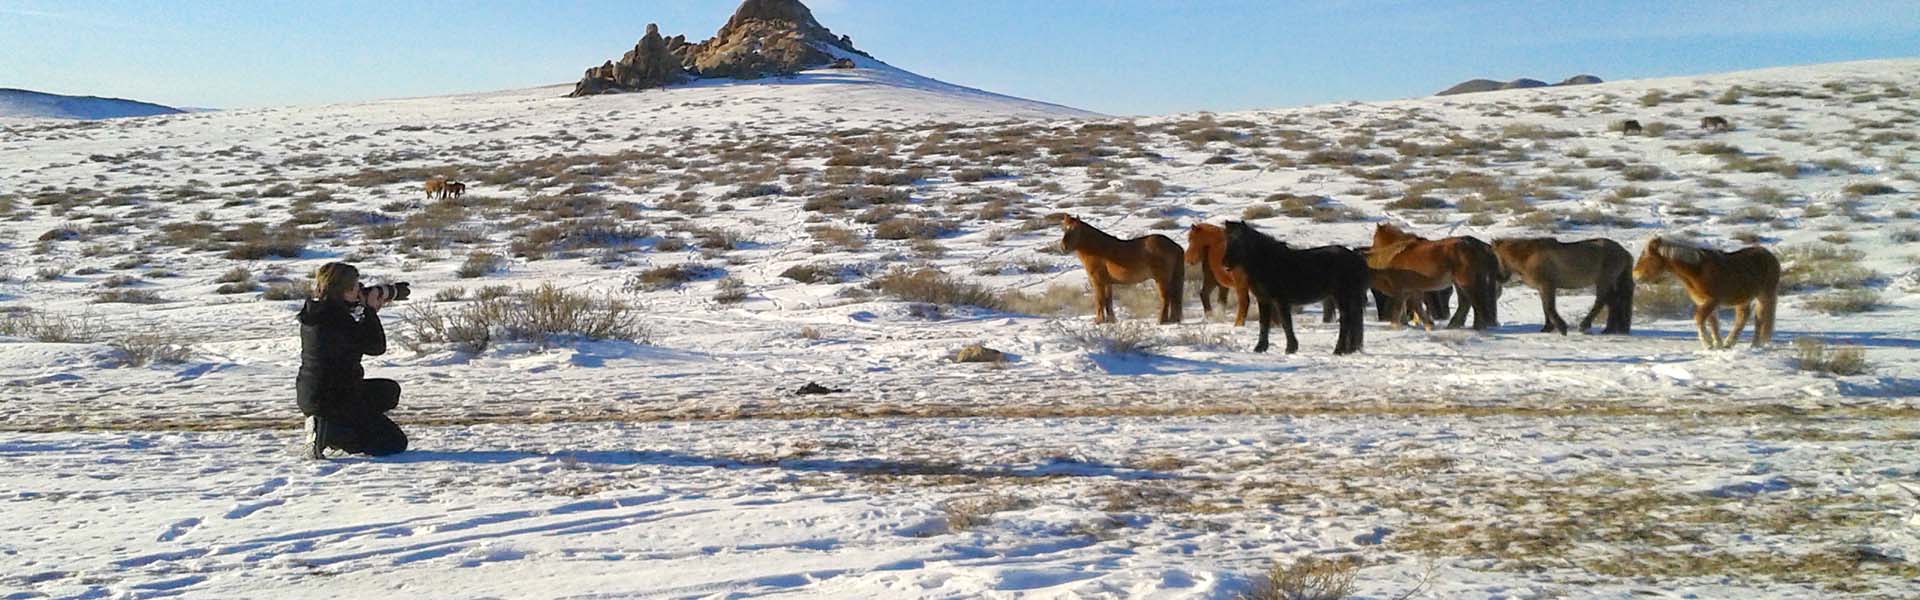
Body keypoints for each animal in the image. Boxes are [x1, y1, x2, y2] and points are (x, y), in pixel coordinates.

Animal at [1221, 221, 1374, 353]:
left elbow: (1286, 323)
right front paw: (1260, 348)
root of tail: (1356, 257)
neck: (1269, 262)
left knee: (1345, 322)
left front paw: (1290, 348)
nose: (1225, 264)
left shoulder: (1281, 300)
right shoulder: (1263, 300)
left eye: (1239, 242)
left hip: (1342, 296)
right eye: (1227, 241)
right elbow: (1263, 323)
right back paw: (1349, 349)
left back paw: (1338, 350)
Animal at [1367, 223, 1497, 330]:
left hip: (1466, 281)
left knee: (1475, 301)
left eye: (1375, 239)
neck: (1398, 251)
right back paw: (1454, 325)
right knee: (1465, 302)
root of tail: (1480, 245)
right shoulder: (1413, 289)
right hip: (1460, 283)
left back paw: (1477, 327)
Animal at [1489, 236, 1628, 334]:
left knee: (1600, 303)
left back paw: (1585, 326)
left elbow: (1549, 307)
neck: (1530, 256)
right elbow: (1545, 307)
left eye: (1496, 256)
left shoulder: (1547, 286)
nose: (1499, 277)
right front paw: (1547, 328)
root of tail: (1624, 252)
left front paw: (1561, 328)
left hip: (1603, 282)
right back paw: (1609, 329)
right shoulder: (1542, 289)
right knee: (1612, 303)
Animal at [1635, 236, 1781, 350]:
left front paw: (1707, 343)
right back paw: (1730, 342)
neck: (1698, 271)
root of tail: (1769, 255)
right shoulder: (1704, 302)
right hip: (1742, 298)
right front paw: (1718, 344)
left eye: (1646, 255)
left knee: (1759, 319)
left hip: (1764, 295)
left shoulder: (1712, 301)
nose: (1635, 276)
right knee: (1742, 317)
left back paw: (1755, 345)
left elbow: (1699, 318)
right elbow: (1713, 323)